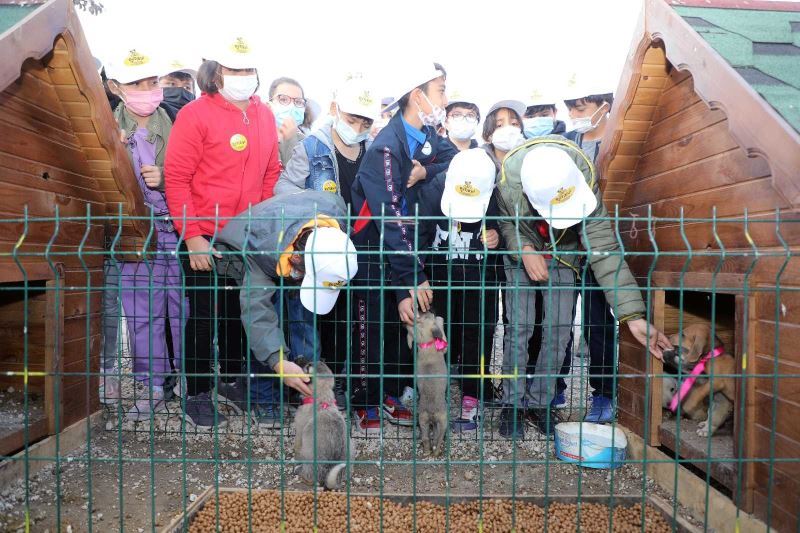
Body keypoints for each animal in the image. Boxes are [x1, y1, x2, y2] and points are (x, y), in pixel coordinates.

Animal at [406, 312, 450, 458]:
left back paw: (426, 451)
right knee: (439, 438)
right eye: (428, 316)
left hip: (423, 420)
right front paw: (440, 319)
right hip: (443, 420)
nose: (428, 311)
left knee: (426, 437)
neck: (427, 343)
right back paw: (436, 452)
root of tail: (431, 411)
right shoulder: (443, 346)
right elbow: (442, 332)